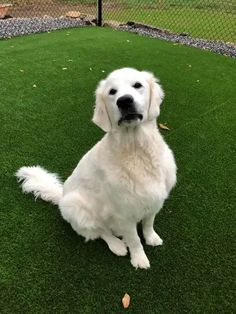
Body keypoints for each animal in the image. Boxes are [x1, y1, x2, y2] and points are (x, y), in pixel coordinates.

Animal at [15, 67, 176, 268]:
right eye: (112, 92)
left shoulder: (155, 200)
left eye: (137, 85)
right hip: (77, 207)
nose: (124, 100)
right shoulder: (125, 213)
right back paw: (117, 245)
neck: (137, 150)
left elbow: (148, 224)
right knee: (100, 232)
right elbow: (134, 240)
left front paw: (152, 238)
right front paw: (139, 259)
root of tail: (61, 196)